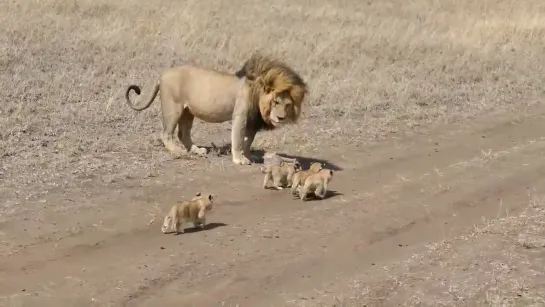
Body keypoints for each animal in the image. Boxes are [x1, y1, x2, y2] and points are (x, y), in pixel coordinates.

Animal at [125, 54, 308, 166]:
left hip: (188, 111)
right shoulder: (240, 115)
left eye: (287, 105)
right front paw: (239, 159)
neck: (257, 91)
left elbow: (248, 141)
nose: (281, 118)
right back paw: (178, 152)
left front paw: (248, 156)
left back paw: (197, 150)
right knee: (166, 134)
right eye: (275, 102)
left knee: (183, 133)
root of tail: (162, 75)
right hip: (173, 107)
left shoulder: (252, 122)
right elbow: (238, 138)